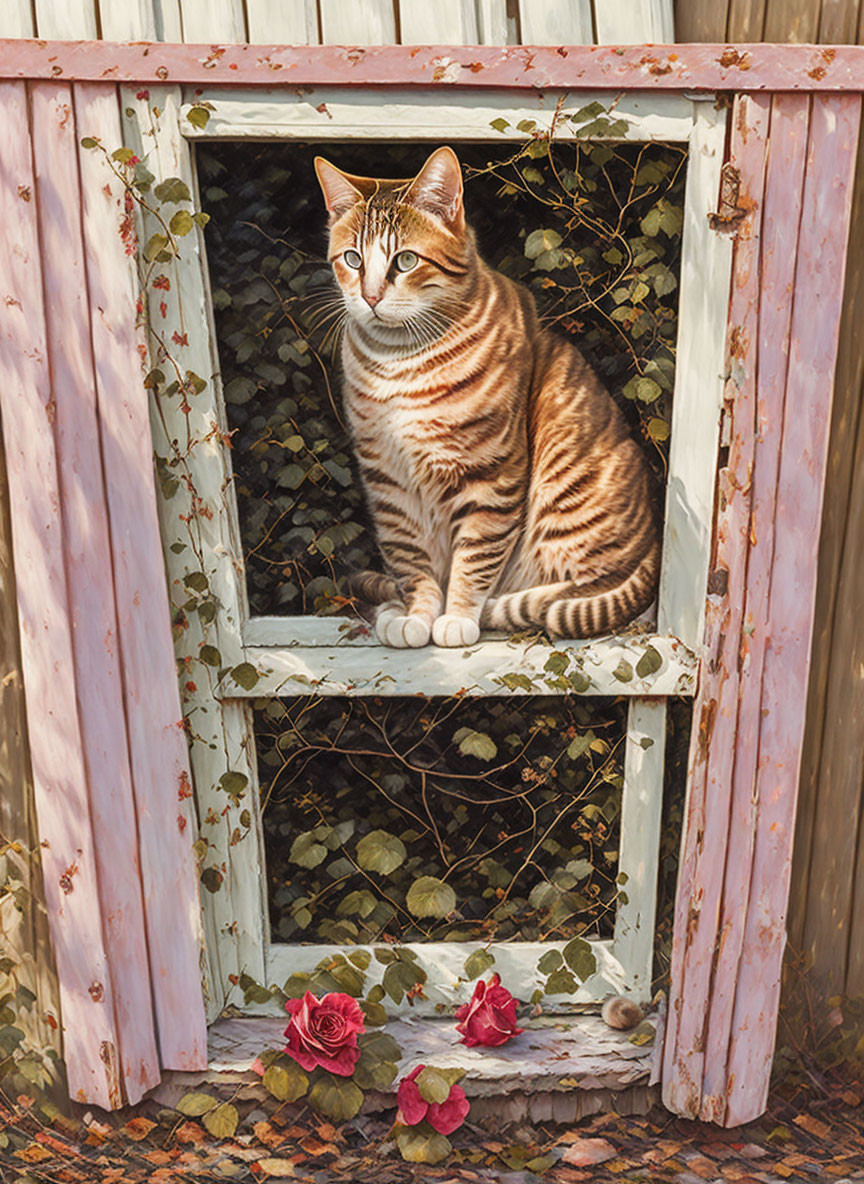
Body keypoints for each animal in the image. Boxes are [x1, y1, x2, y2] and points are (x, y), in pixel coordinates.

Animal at [312, 149, 658, 653]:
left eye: (406, 260)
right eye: (353, 259)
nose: (371, 297)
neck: (399, 364)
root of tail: (654, 543)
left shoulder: (490, 474)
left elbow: (475, 555)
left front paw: (457, 615)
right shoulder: (387, 481)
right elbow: (410, 560)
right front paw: (416, 612)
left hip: (567, 489)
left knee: (587, 589)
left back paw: (500, 605)